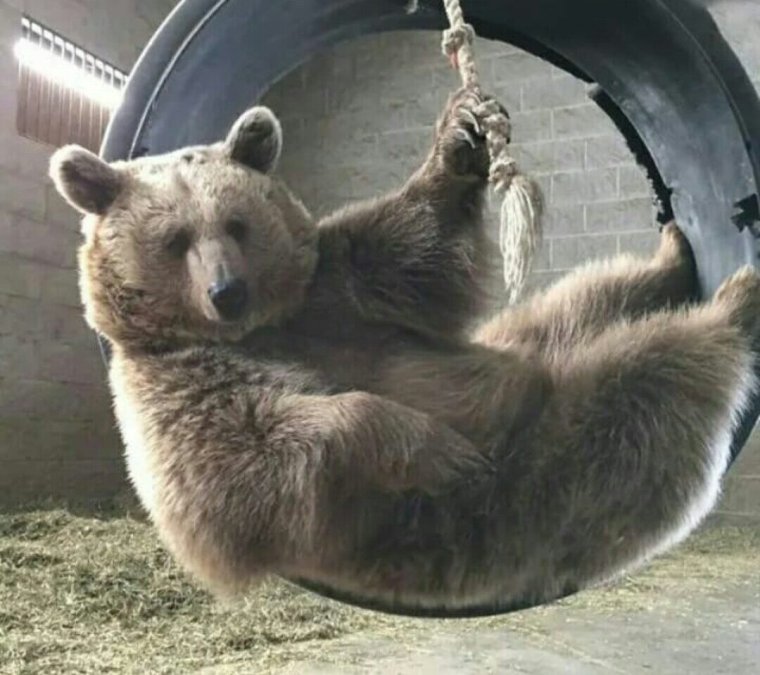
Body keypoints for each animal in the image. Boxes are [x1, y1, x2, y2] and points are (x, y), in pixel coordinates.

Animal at [49, 86, 760, 612]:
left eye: (237, 223)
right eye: (174, 239)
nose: (227, 291)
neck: (265, 328)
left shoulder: (340, 287)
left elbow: (417, 239)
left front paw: (461, 139)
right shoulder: (177, 392)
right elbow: (248, 466)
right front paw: (434, 448)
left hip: (526, 348)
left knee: (588, 299)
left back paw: (675, 258)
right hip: (540, 475)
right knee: (647, 379)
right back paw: (731, 306)